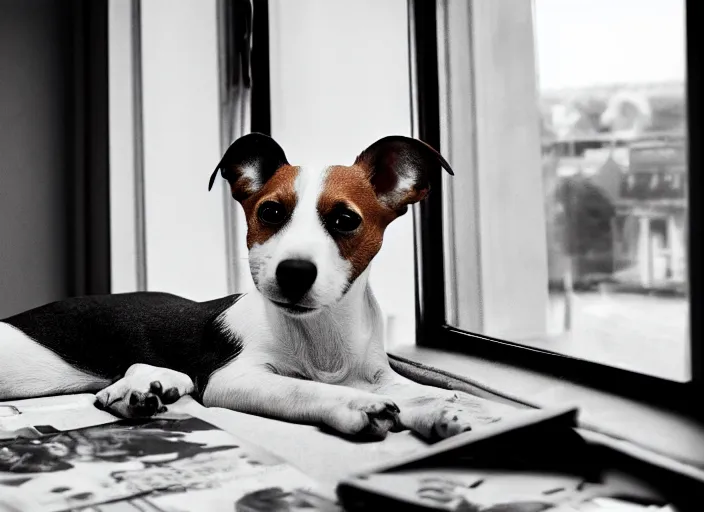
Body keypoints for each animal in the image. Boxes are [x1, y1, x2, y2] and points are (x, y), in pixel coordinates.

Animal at [2, 134, 504, 442]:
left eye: (345, 220)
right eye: (271, 212)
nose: (294, 272)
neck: (321, 339)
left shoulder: (378, 373)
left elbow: (411, 391)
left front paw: (441, 410)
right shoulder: (236, 379)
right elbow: (304, 390)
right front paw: (353, 404)